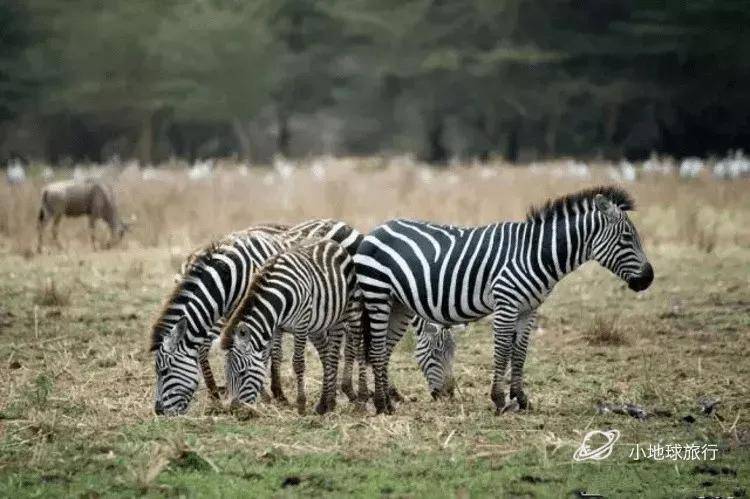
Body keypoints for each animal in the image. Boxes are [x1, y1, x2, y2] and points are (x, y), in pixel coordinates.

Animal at [219, 237, 360, 414]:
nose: (233, 410)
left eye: (243, 373)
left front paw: (301, 404)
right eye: (225, 374)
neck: (277, 298)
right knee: (326, 354)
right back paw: (325, 403)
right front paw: (267, 399)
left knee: (342, 348)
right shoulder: (275, 328)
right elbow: (268, 358)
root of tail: (331, 241)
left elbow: (298, 363)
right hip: (318, 325)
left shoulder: (301, 325)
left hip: (345, 312)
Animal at [356, 187, 656, 414]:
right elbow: (502, 351)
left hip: (398, 306)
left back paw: (386, 403)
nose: (649, 278)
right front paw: (499, 399)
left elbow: (520, 354)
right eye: (627, 237)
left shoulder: (528, 310)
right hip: (377, 296)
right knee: (377, 348)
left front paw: (521, 399)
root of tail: (378, 228)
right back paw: (380, 404)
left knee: (383, 349)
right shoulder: (506, 304)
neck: (536, 254)